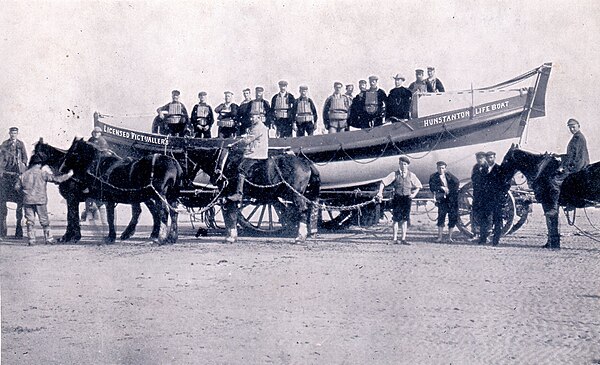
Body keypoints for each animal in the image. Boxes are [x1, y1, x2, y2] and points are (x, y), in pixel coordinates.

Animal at [34, 141, 168, 243]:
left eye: (35, 152)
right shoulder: (75, 199)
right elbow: (73, 216)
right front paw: (72, 235)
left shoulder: (72, 198)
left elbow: (71, 216)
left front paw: (69, 236)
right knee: (149, 211)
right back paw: (150, 233)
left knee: (146, 211)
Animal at [189, 144, 322, 242]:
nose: (187, 181)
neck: (224, 162)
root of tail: (305, 162)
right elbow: (231, 214)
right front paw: (231, 235)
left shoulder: (227, 194)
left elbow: (230, 214)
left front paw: (231, 237)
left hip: (296, 195)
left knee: (302, 211)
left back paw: (300, 237)